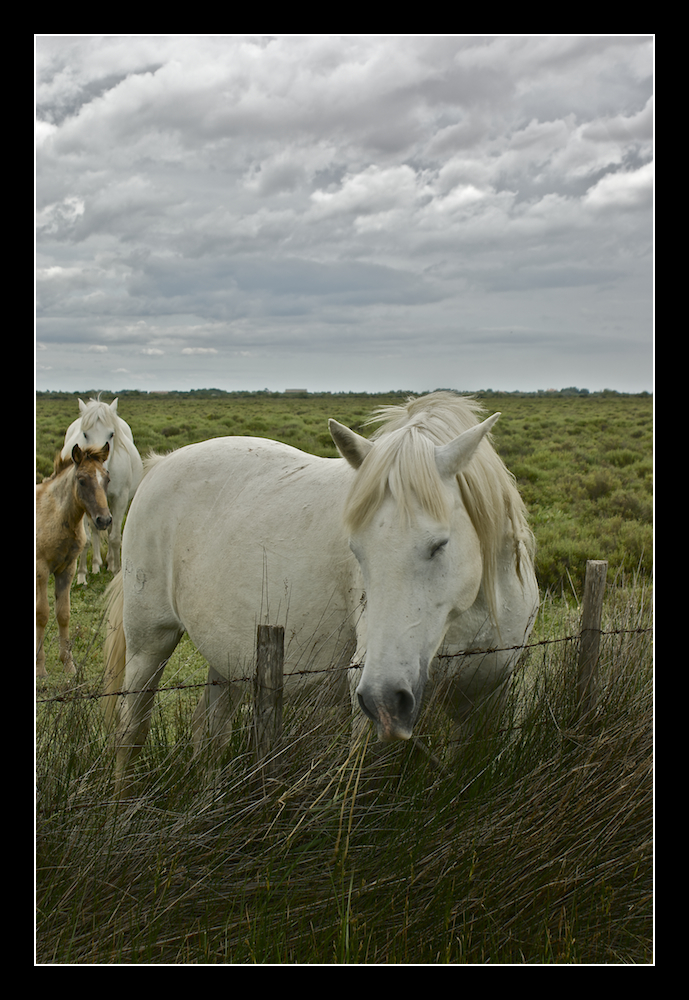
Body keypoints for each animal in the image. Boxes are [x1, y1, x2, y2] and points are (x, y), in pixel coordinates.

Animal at [61, 398, 142, 584]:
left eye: (111, 434)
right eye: (85, 434)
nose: (98, 468)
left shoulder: (119, 499)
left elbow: (114, 538)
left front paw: (116, 570)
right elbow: (86, 539)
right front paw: (81, 576)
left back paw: (110, 563)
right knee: (95, 530)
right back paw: (96, 565)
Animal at [106, 392, 536, 788]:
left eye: (440, 544)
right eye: (356, 549)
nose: (383, 699)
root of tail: (163, 462)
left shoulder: (484, 702)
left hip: (229, 657)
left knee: (209, 732)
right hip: (149, 641)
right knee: (130, 731)